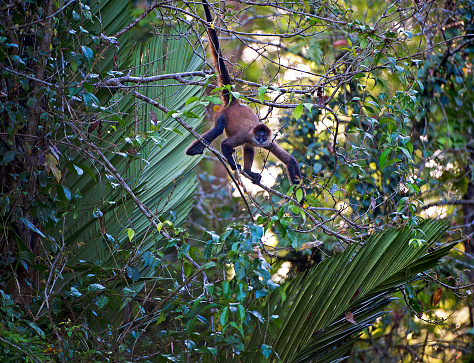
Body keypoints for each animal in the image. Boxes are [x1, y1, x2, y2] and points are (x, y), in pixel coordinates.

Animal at [186, 0, 304, 188]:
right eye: (259, 136)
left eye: (264, 136)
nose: (261, 141)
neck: (254, 136)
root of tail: (234, 103)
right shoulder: (246, 135)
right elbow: (225, 144)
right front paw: (233, 164)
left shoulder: (269, 142)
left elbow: (290, 160)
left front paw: (299, 195)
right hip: (222, 114)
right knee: (219, 129)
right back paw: (195, 149)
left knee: (249, 148)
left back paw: (249, 172)